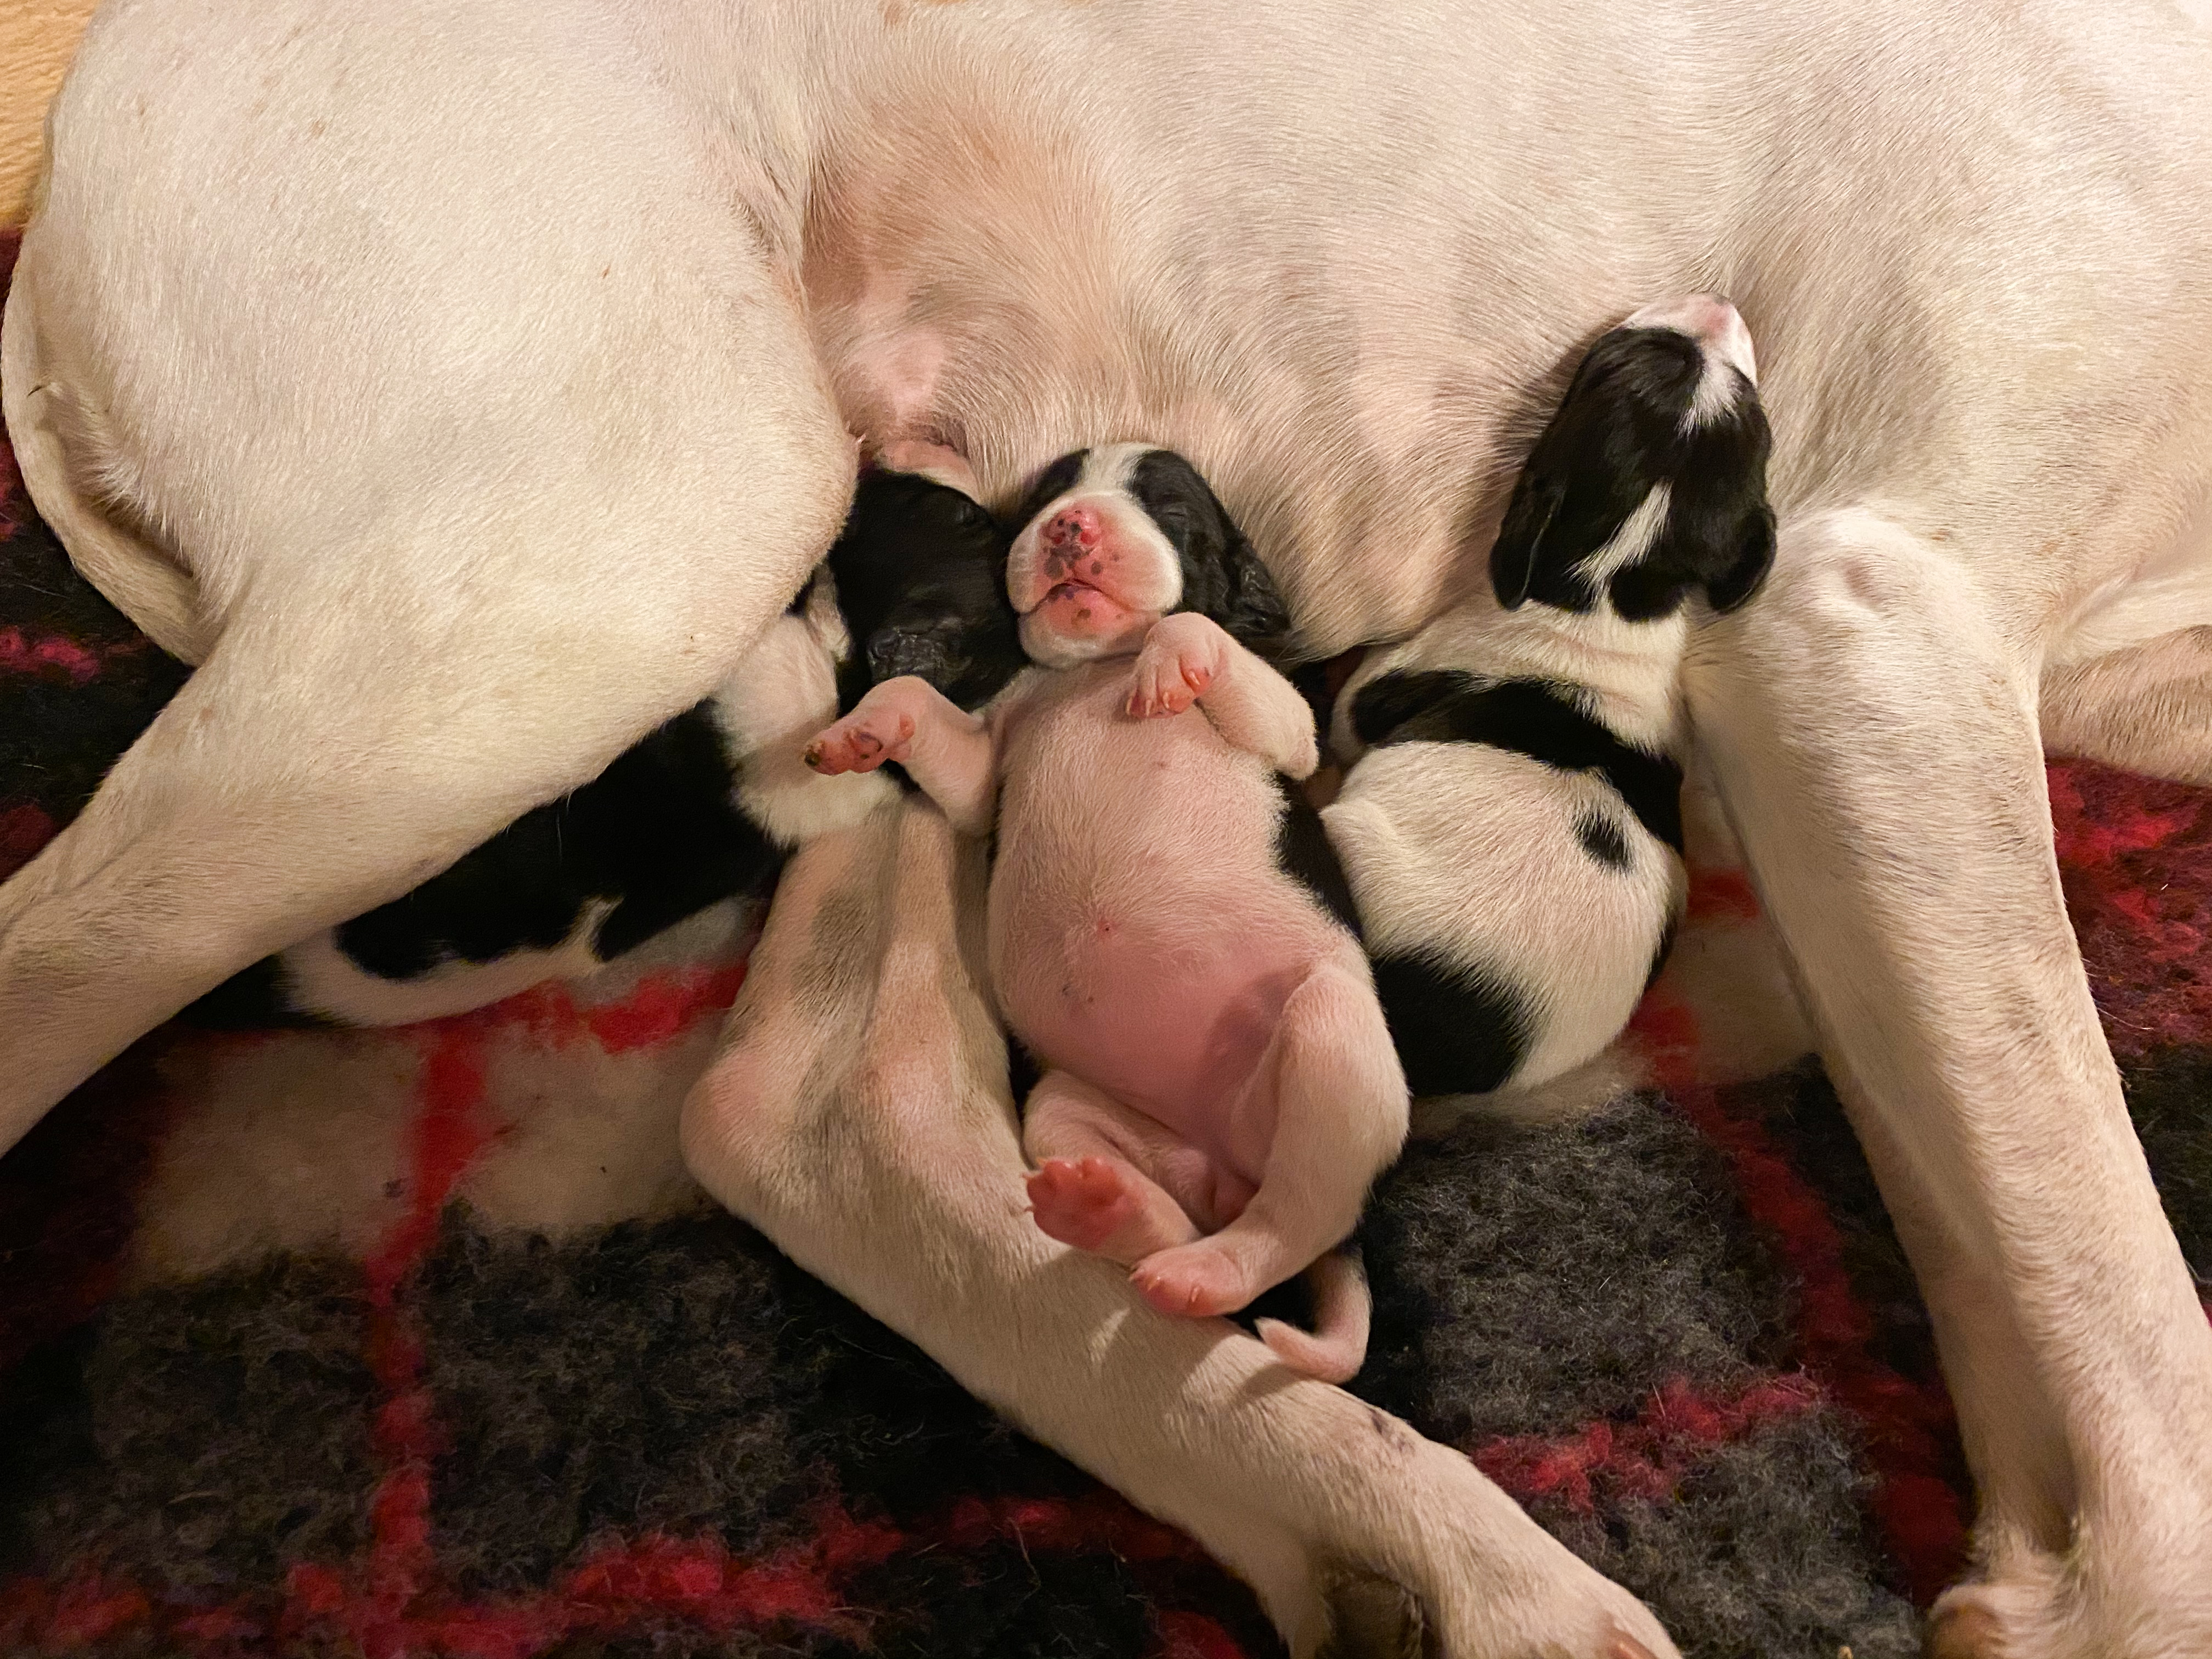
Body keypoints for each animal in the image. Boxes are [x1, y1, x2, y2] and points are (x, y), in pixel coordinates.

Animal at [807, 445, 1398, 1383]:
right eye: (1046, 499)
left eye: (1170, 508)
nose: (1071, 526)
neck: (1094, 670)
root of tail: (1224, 1161)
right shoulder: (985, 770)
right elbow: (921, 708)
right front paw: (859, 731)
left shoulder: (1291, 731)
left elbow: (1196, 636)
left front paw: (1169, 661)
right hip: (1070, 1111)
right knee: (1182, 1217)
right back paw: (1107, 1213)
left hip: (1330, 1033)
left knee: (1289, 1228)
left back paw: (1207, 1271)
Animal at [1326, 295, 1771, 1096]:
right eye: (1751, 404)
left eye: (1617, 358)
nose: (1720, 303)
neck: (1612, 589)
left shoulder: (1379, 687)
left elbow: (1349, 705)